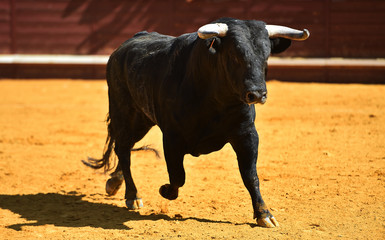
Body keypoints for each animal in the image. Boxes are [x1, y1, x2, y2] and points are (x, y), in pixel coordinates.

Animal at [85, 18, 308, 227]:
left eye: (266, 56)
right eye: (234, 55)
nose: (257, 94)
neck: (216, 99)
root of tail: (127, 44)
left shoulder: (246, 134)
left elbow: (250, 175)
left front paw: (264, 215)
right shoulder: (172, 138)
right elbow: (177, 176)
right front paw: (164, 189)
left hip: (142, 119)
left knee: (125, 146)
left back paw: (115, 182)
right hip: (124, 112)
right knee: (123, 148)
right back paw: (132, 196)